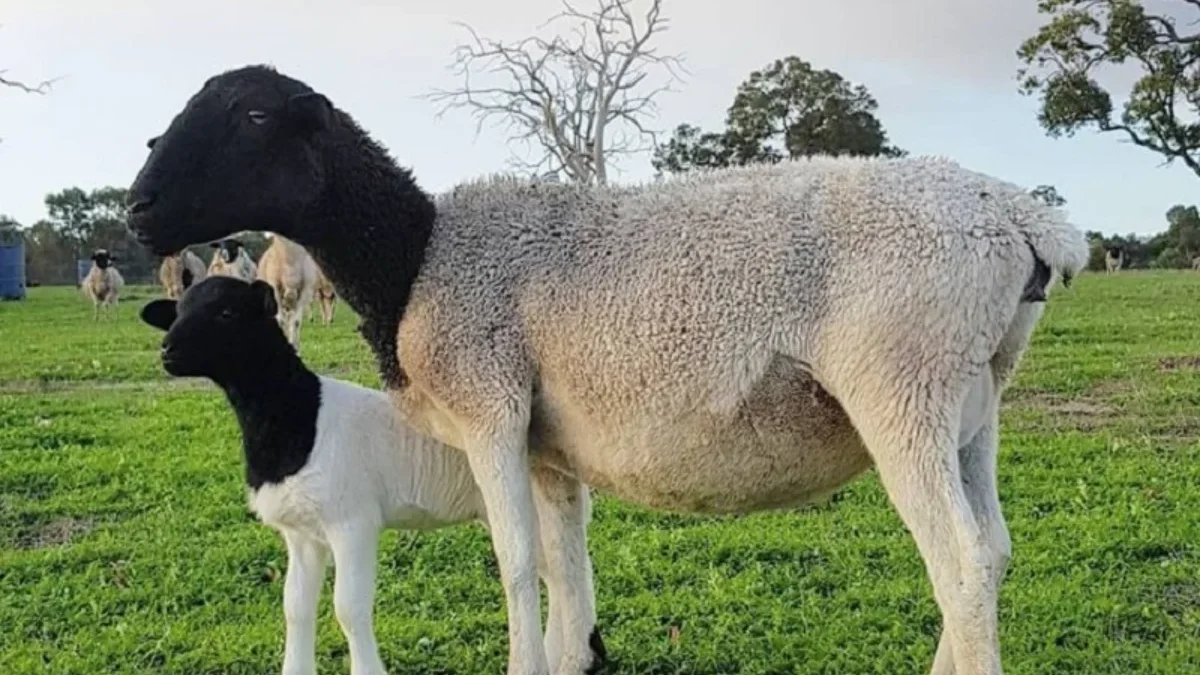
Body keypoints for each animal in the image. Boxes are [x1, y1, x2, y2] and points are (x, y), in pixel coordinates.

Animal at [139, 271, 585, 672]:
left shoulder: (352, 522)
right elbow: (294, 608)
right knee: (557, 576)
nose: (167, 350)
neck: (299, 420)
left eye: (227, 312)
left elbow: (349, 609)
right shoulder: (302, 534)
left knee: (559, 577)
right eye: (178, 310)